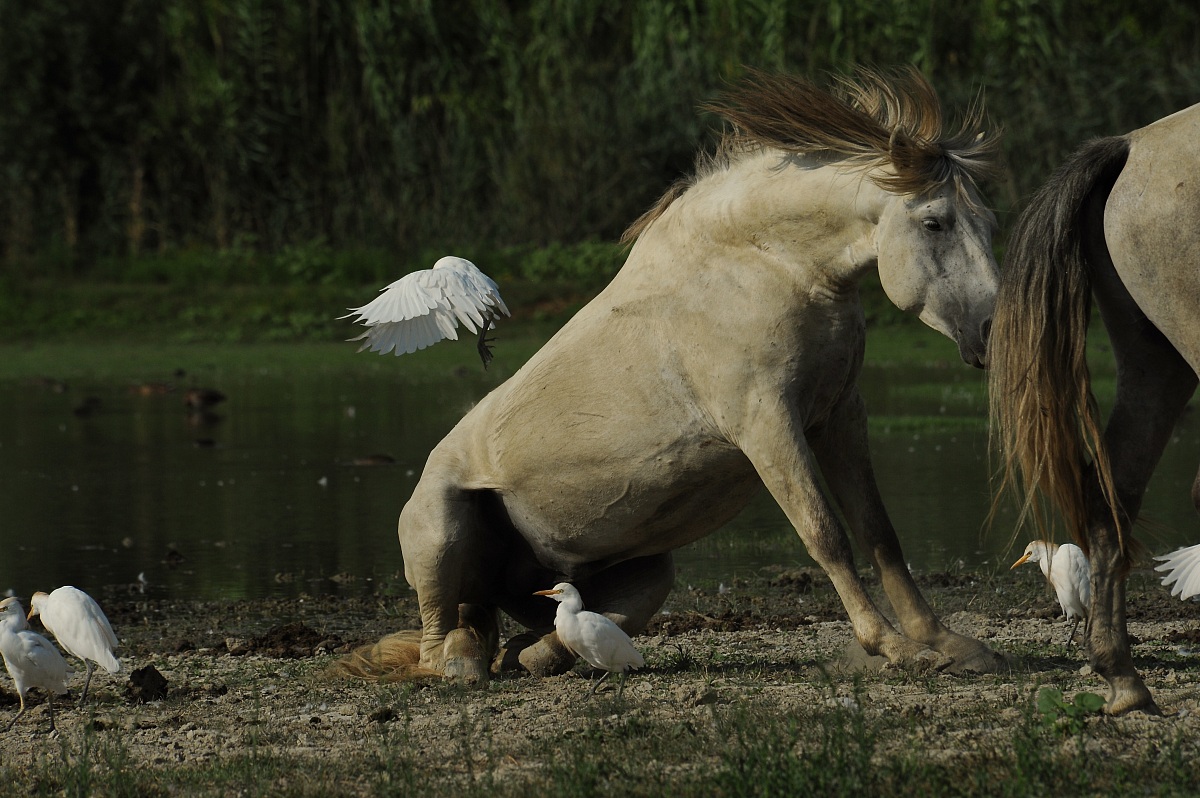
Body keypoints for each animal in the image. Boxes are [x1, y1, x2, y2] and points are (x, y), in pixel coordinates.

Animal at [343, 67, 1008, 685]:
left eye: (986, 221)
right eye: (935, 222)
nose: (992, 329)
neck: (771, 265)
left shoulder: (839, 415)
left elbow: (879, 533)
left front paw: (951, 646)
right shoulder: (767, 424)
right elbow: (827, 535)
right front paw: (896, 648)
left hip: (639, 569)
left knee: (533, 627)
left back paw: (534, 651)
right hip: (440, 534)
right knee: (441, 643)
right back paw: (465, 663)